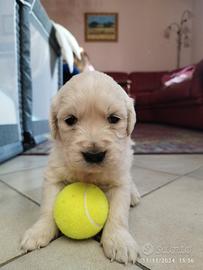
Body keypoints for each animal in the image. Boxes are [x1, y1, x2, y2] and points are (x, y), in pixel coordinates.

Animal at [21, 70, 141, 264]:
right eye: (70, 120)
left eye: (114, 119)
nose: (94, 155)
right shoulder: (54, 175)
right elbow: (47, 208)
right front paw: (38, 231)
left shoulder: (119, 181)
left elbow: (118, 213)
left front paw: (119, 241)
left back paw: (134, 194)